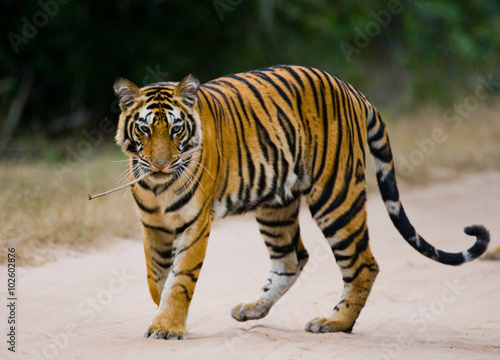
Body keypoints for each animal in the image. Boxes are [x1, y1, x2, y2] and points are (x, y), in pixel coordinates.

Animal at [112, 65, 488, 340]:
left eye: (176, 130)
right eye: (145, 130)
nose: (160, 164)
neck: (158, 186)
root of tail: (351, 89)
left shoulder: (195, 224)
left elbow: (181, 278)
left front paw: (167, 326)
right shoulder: (153, 225)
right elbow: (157, 277)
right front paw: (167, 316)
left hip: (336, 197)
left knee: (363, 263)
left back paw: (334, 323)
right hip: (274, 206)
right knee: (291, 259)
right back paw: (252, 309)